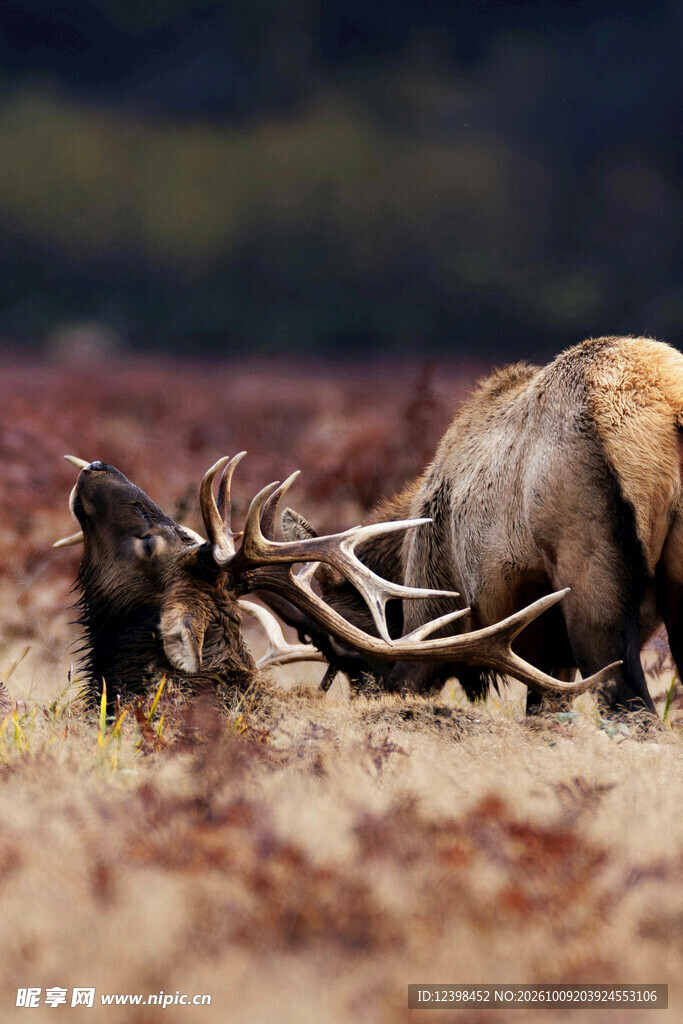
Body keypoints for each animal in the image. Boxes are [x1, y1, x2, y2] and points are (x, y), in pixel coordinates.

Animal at [278, 336, 683, 715]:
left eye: (346, 652)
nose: (366, 699)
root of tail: (670, 406)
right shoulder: (552, 654)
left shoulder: (438, 611)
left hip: (590, 569)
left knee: (631, 708)